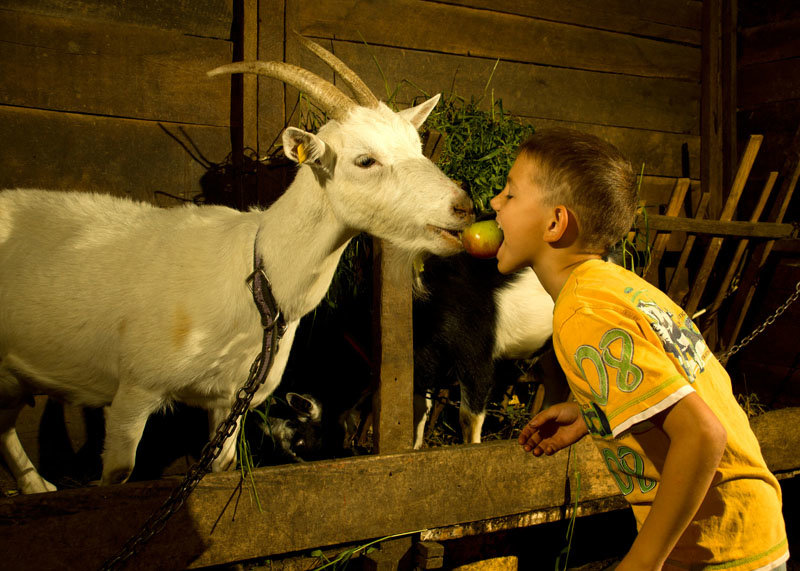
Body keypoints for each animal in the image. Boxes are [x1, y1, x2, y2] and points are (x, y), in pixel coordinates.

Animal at [0, 35, 476, 494]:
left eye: (417, 147)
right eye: (365, 160)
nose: (463, 206)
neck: (255, 276)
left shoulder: (230, 400)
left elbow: (222, 466)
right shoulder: (134, 389)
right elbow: (118, 474)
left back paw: (36, 484)